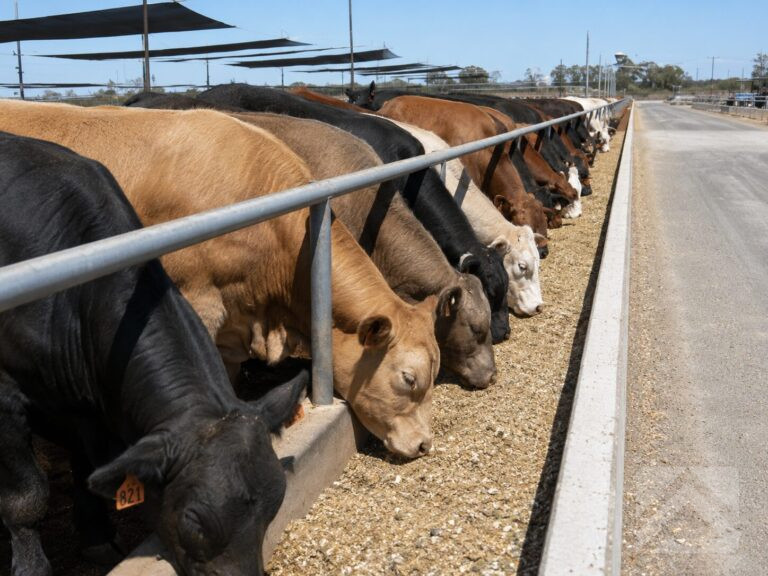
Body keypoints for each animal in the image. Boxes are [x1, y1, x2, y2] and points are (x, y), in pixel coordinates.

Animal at [0, 131, 307, 576]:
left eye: (277, 501)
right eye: (194, 522)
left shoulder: (87, 405)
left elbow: (89, 469)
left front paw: (96, 538)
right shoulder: (6, 396)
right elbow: (26, 499)